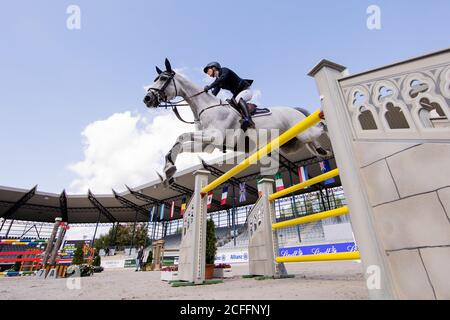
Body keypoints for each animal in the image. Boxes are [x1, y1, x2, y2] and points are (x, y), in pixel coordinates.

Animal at [144, 59, 330, 186]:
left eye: (163, 78)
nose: (147, 99)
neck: (205, 106)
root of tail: (295, 110)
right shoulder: (206, 144)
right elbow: (180, 144)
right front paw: (169, 171)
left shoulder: (215, 136)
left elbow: (181, 136)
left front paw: (169, 169)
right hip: (293, 144)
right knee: (314, 143)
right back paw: (323, 150)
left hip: (304, 133)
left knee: (321, 127)